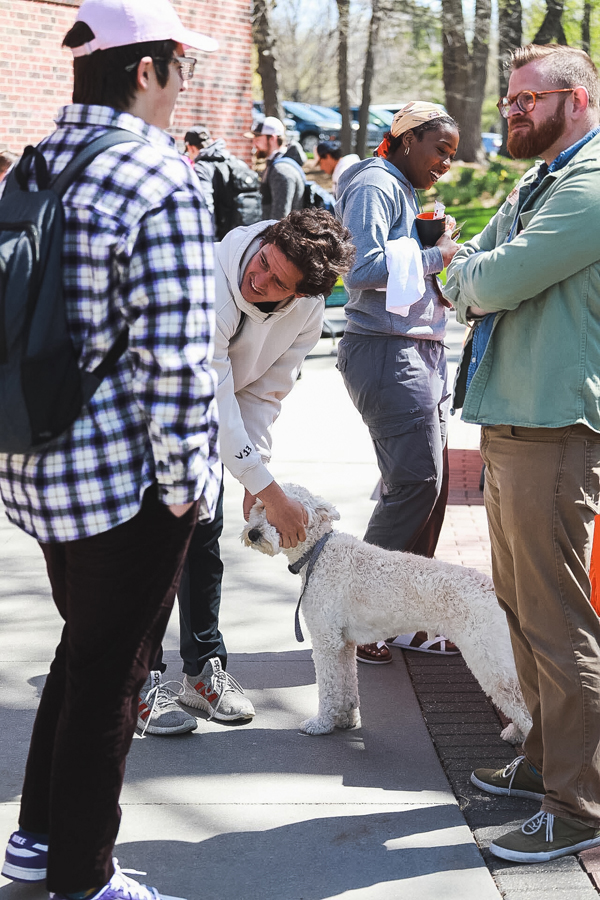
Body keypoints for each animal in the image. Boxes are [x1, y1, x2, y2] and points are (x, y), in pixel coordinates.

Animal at [239, 482, 528, 740]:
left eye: (278, 514)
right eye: (261, 506)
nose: (253, 533)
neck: (318, 552)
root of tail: (494, 589)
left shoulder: (326, 641)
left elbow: (329, 687)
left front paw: (321, 723)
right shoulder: (343, 643)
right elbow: (347, 684)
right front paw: (345, 718)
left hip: (489, 660)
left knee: (524, 708)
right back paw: (515, 735)